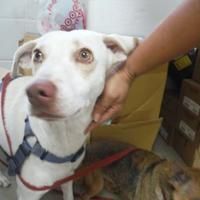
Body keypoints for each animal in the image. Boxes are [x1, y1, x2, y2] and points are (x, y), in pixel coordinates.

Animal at [0, 30, 139, 200]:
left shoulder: (67, 177)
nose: (34, 92)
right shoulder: (27, 193)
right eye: (37, 55)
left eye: (85, 54)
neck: (64, 137)